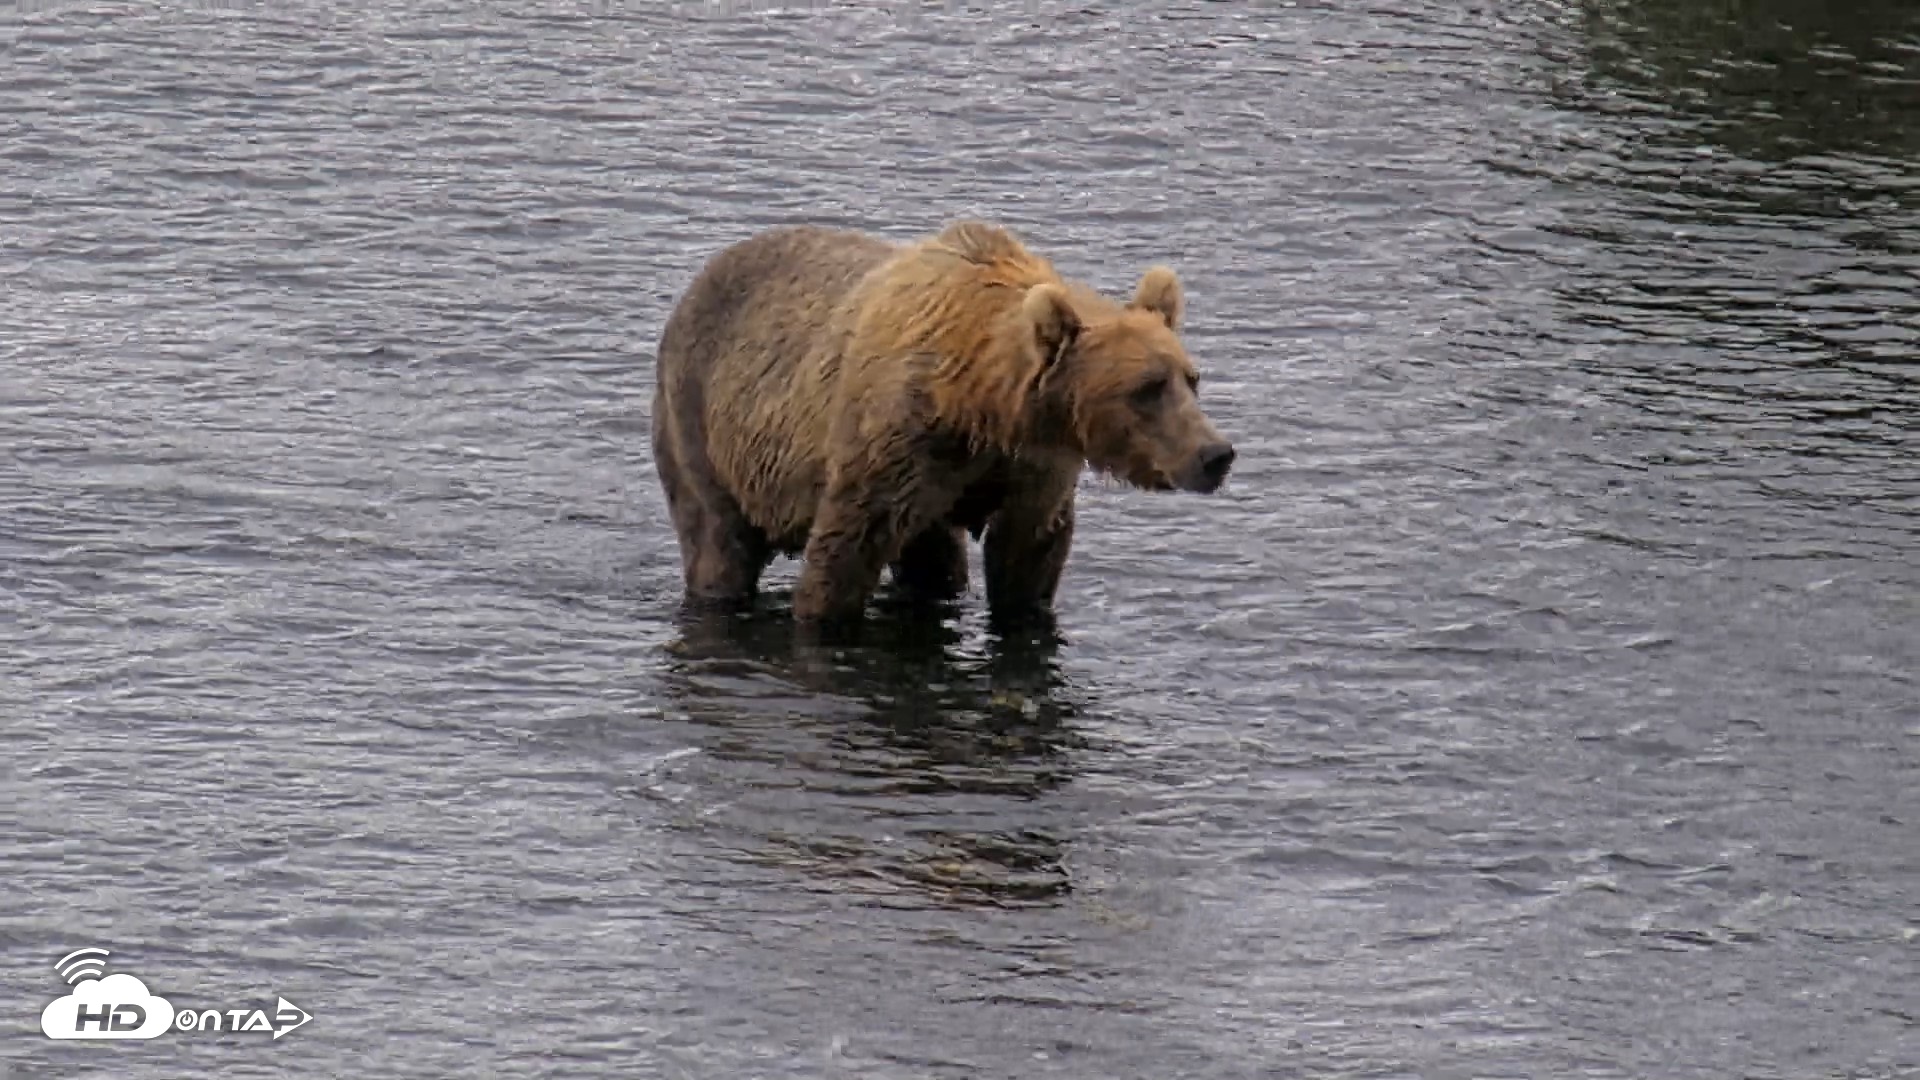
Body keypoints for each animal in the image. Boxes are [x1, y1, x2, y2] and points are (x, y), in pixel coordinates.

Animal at [650, 220, 1236, 626]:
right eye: (1146, 389)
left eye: (1191, 378)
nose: (1215, 454)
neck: (979, 402)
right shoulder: (894, 447)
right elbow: (843, 553)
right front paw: (822, 613)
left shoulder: (1032, 466)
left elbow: (1026, 558)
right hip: (700, 424)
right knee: (718, 544)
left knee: (932, 564)